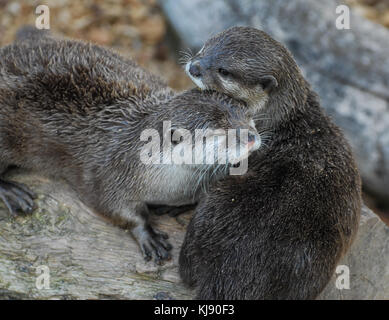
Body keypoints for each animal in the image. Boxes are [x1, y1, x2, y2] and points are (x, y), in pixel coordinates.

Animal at [0, 26, 260, 262]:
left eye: (245, 114)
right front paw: (149, 236)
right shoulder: (108, 175)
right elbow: (114, 208)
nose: (251, 137)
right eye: (216, 132)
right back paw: (13, 193)